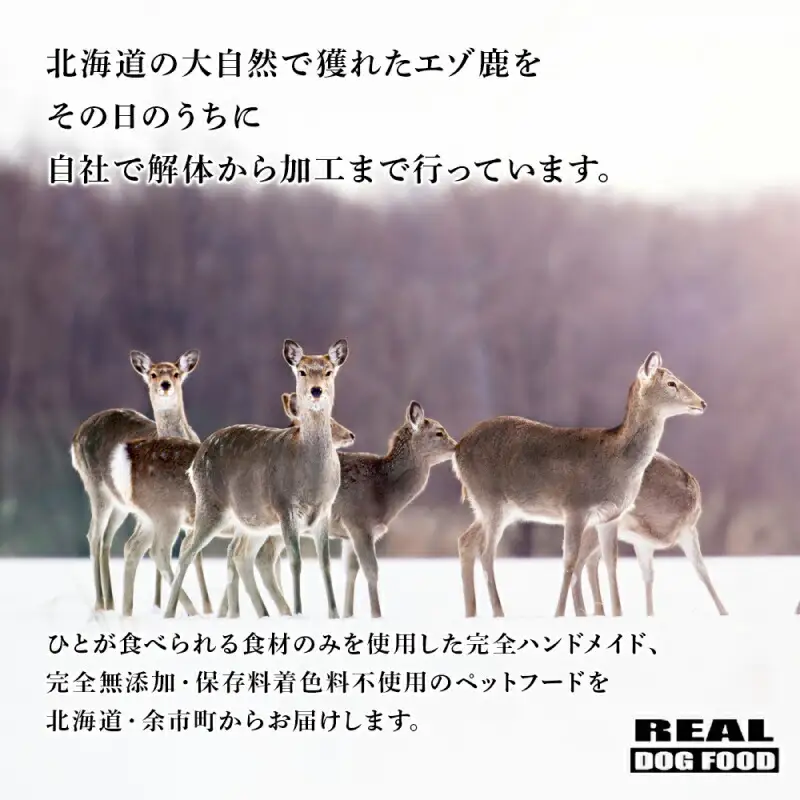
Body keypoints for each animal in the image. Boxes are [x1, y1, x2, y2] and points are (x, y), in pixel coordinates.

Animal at [70, 349, 212, 613]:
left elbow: (193, 554)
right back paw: (101, 603)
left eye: (176, 373)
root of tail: (75, 437)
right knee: (94, 535)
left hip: (120, 505)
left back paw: (112, 602)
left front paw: (205, 607)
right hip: (96, 488)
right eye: (152, 374)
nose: (165, 385)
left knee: (108, 539)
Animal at [452, 351, 707, 618]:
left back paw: (471, 611)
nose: (702, 403)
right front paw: (559, 613)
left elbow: (610, 562)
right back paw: (498, 612)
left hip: (493, 507)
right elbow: (570, 560)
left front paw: (616, 613)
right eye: (671, 383)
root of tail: (457, 449)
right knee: (486, 553)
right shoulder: (575, 508)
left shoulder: (610, 516)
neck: (618, 462)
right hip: (491, 501)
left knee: (466, 541)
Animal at [568, 451, 727, 616]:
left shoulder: (643, 543)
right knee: (580, 563)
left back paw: (596, 612)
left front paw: (650, 614)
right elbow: (702, 570)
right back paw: (585, 612)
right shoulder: (687, 529)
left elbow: (649, 576)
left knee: (588, 562)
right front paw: (724, 612)